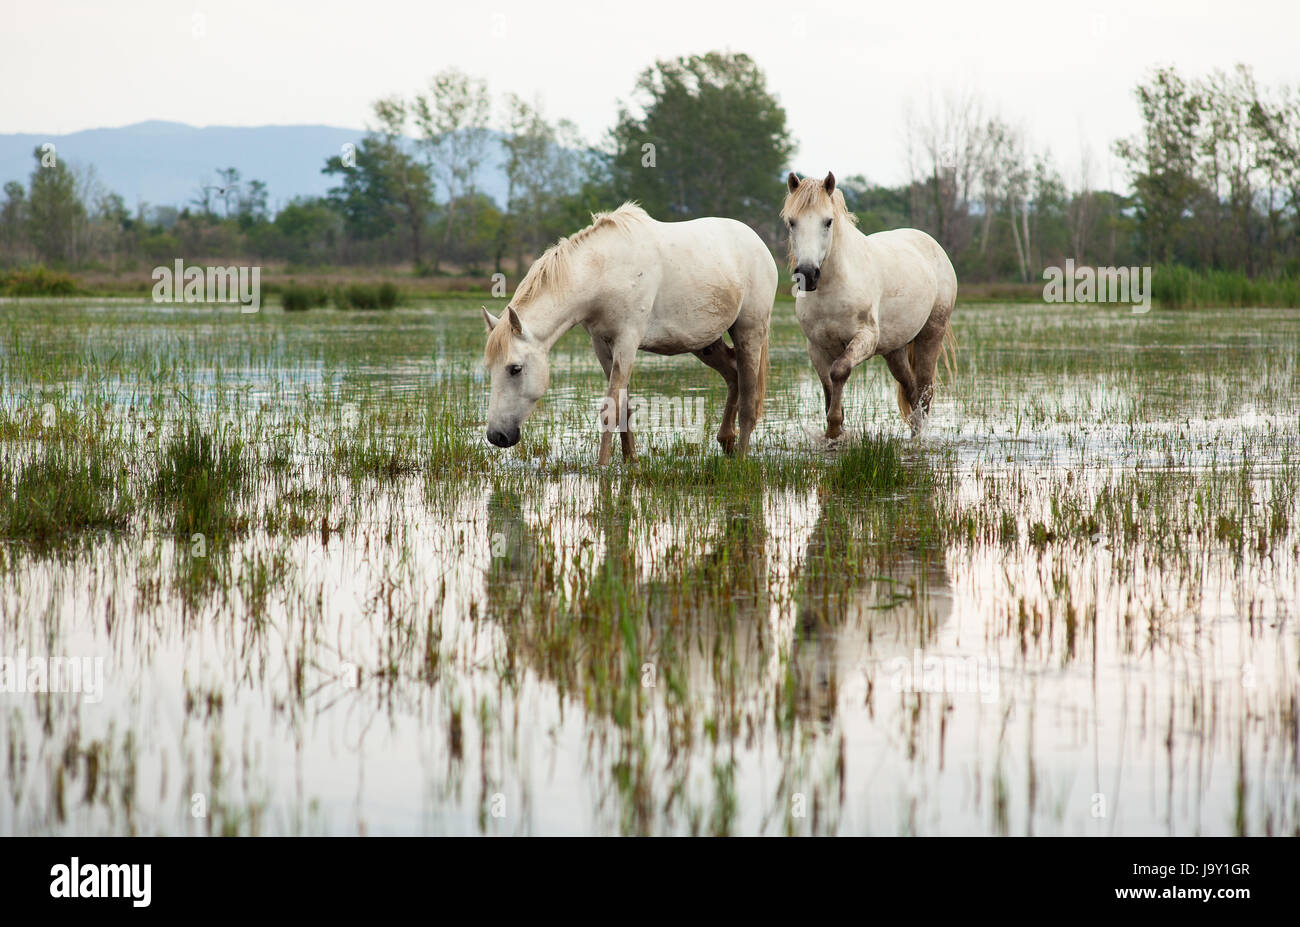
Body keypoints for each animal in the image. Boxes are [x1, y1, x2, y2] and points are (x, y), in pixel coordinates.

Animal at [483, 202, 774, 462]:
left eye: (515, 369)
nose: (496, 436)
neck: (605, 271)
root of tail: (759, 243)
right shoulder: (602, 345)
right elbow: (624, 408)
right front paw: (630, 460)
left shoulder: (627, 341)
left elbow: (610, 410)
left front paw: (601, 468)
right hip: (705, 343)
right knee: (733, 375)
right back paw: (726, 440)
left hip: (749, 333)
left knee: (749, 399)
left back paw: (741, 458)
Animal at [780, 170, 956, 436]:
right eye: (792, 222)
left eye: (828, 221)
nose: (808, 274)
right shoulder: (817, 347)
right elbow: (828, 388)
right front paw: (833, 435)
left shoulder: (865, 338)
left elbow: (839, 371)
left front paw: (834, 427)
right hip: (894, 350)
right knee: (911, 389)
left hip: (931, 334)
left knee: (924, 393)